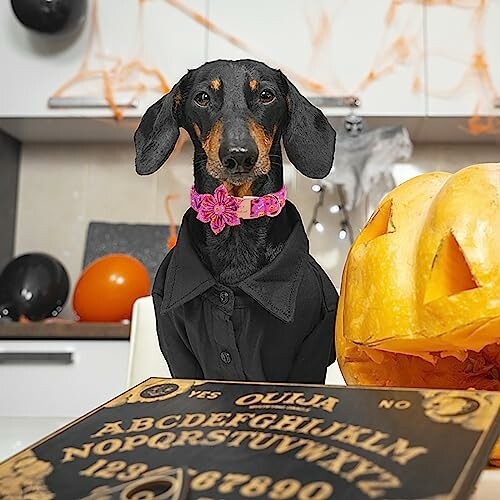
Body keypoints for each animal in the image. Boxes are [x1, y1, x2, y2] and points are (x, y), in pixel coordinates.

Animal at [135, 60, 340, 384]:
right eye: (202, 97)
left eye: (266, 95)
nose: (239, 156)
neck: (236, 224)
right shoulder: (175, 345)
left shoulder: (311, 351)